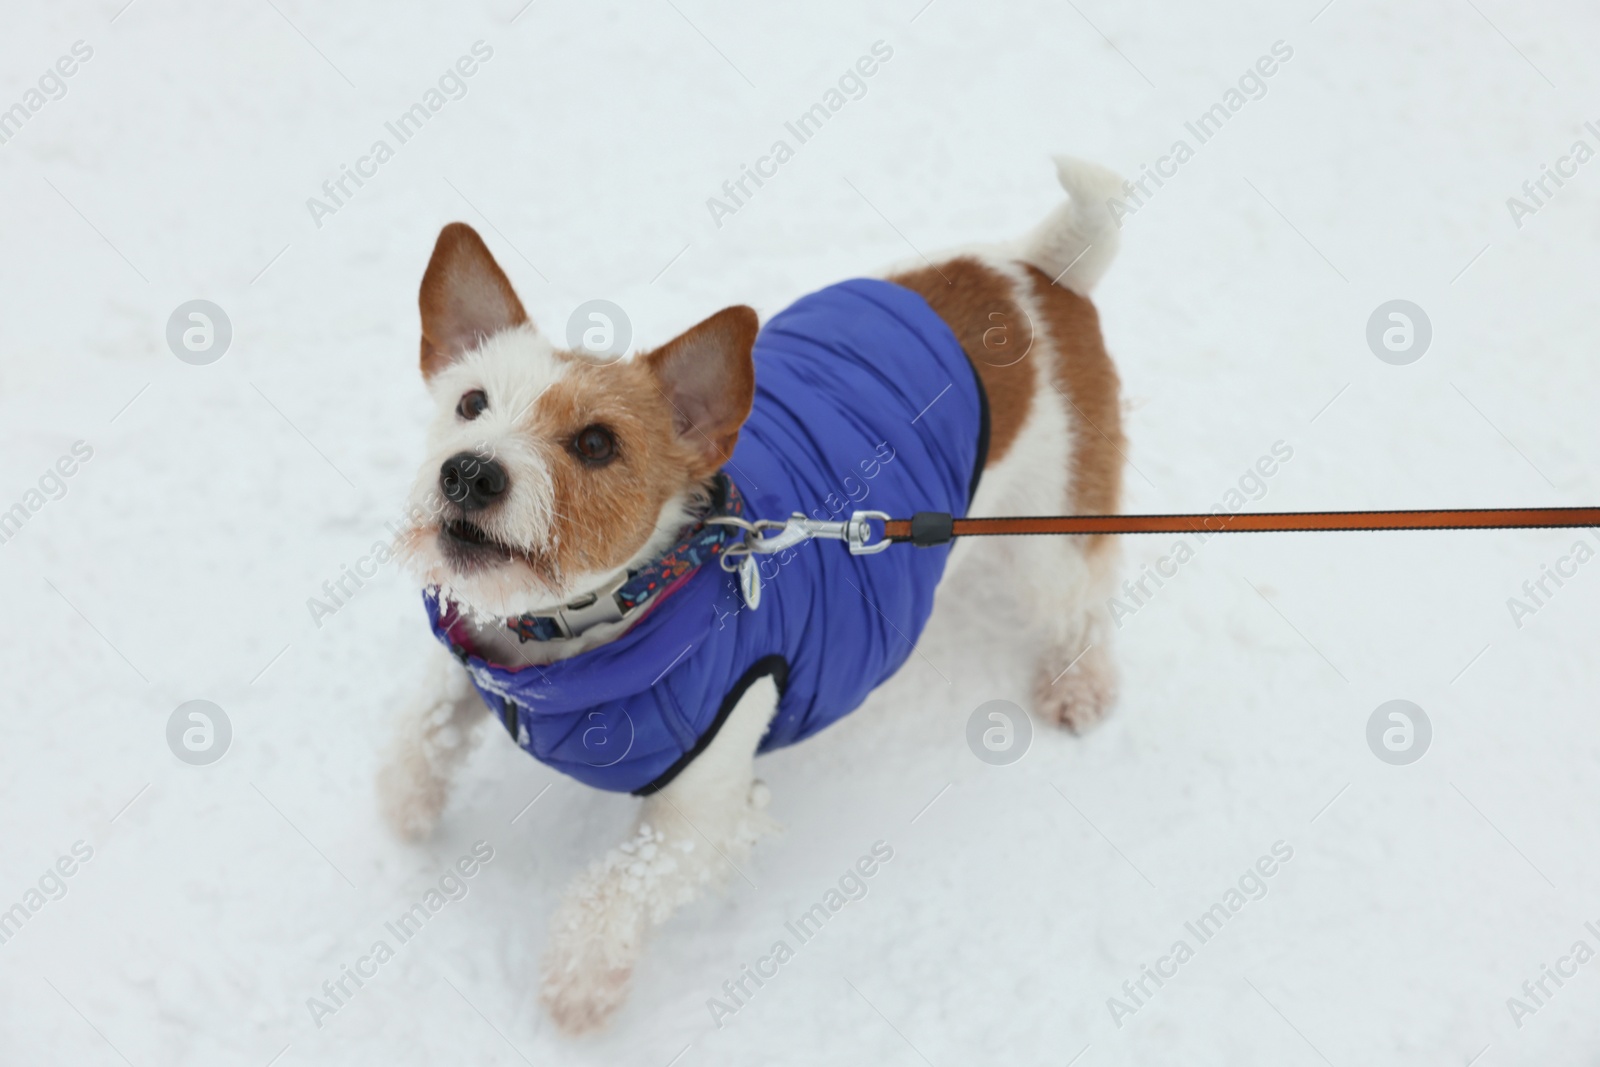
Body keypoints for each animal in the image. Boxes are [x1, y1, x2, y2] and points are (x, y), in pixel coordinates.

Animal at [374, 156, 1126, 1036]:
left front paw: (579, 984)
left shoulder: (702, 812)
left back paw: (1080, 683)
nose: (469, 472)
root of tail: (1036, 271)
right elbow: (422, 722)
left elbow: (614, 887)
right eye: (471, 403)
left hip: (1052, 527)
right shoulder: (474, 653)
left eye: (596, 443)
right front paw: (406, 806)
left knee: (1082, 599)